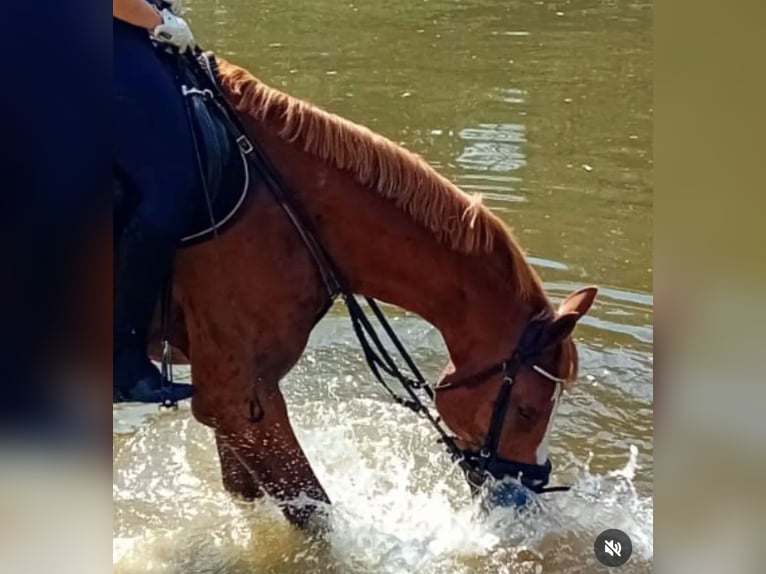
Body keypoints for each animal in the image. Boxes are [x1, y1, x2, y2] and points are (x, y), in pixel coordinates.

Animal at [112, 57, 598, 530]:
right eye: (527, 411)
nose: (526, 492)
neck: (289, 210)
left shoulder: (238, 401)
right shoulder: (236, 399)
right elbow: (318, 519)